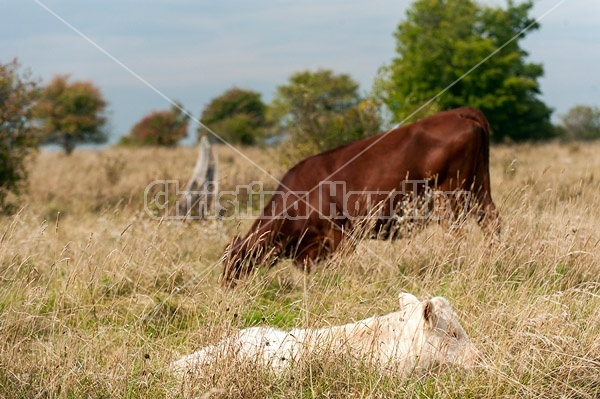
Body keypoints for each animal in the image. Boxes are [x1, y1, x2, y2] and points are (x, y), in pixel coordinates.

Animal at [223, 108, 500, 286]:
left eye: (235, 263)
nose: (226, 287)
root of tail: (460, 112)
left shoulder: (339, 234)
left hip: (452, 193)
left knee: (456, 232)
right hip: (479, 188)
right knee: (491, 221)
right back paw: (491, 260)